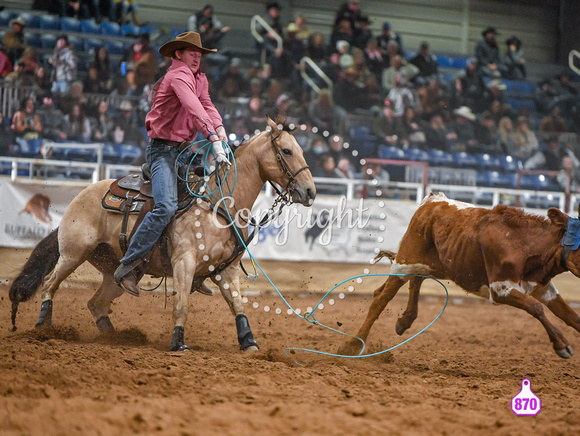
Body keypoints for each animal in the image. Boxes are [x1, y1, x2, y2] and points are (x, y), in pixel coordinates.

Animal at [9, 117, 314, 352]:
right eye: (287, 151)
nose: (310, 191)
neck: (217, 206)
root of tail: (81, 196)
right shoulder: (184, 263)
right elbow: (181, 305)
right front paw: (178, 343)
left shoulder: (226, 271)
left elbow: (238, 306)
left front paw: (249, 342)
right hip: (73, 253)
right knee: (50, 284)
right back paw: (43, 327)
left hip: (114, 270)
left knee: (97, 303)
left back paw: (117, 337)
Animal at [340, 192, 580, 360]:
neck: (524, 245)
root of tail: (433, 201)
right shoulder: (501, 290)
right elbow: (536, 308)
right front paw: (562, 345)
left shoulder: (543, 287)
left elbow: (571, 316)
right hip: (405, 261)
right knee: (381, 297)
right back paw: (352, 345)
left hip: (436, 264)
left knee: (415, 280)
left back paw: (405, 320)